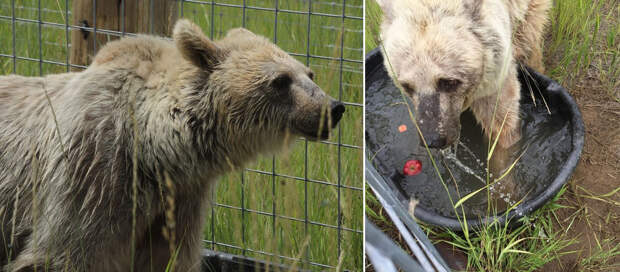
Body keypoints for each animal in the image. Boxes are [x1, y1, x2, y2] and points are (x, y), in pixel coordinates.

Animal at [0, 19, 344, 272]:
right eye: (281, 80)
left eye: (310, 73)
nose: (333, 108)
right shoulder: (93, 176)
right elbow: (63, 252)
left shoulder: (180, 199)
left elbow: (167, 257)